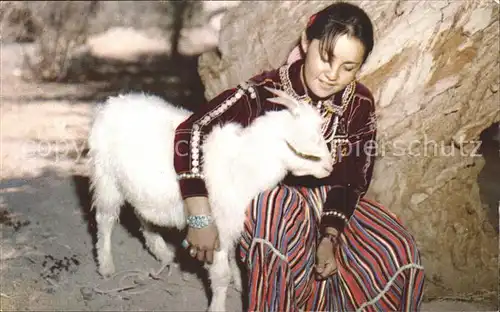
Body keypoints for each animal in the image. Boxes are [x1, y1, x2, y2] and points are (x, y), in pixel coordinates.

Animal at [88, 86, 334, 310]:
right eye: (304, 148)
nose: (329, 167)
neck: (242, 165)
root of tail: (110, 103)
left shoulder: (231, 225)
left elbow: (234, 259)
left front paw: (239, 282)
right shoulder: (217, 231)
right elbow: (220, 275)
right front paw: (218, 305)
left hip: (141, 188)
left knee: (142, 214)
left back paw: (162, 251)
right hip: (106, 178)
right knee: (105, 219)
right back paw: (106, 265)